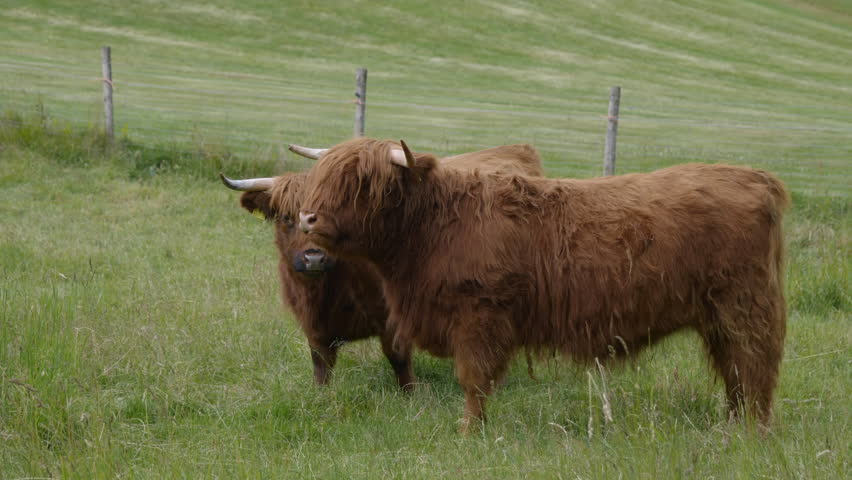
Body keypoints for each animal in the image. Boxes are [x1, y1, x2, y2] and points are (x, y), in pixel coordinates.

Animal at [220, 143, 544, 391]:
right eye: (286, 217)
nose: (314, 258)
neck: (332, 289)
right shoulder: (313, 326)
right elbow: (321, 365)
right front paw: (320, 396)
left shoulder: (392, 318)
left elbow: (399, 358)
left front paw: (410, 395)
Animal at [298, 137, 789, 433]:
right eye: (321, 177)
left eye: (363, 182)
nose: (307, 218)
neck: (436, 224)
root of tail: (755, 177)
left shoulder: (480, 316)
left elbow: (473, 381)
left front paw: (470, 432)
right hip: (717, 316)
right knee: (733, 372)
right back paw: (732, 426)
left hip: (744, 307)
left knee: (754, 367)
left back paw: (753, 432)